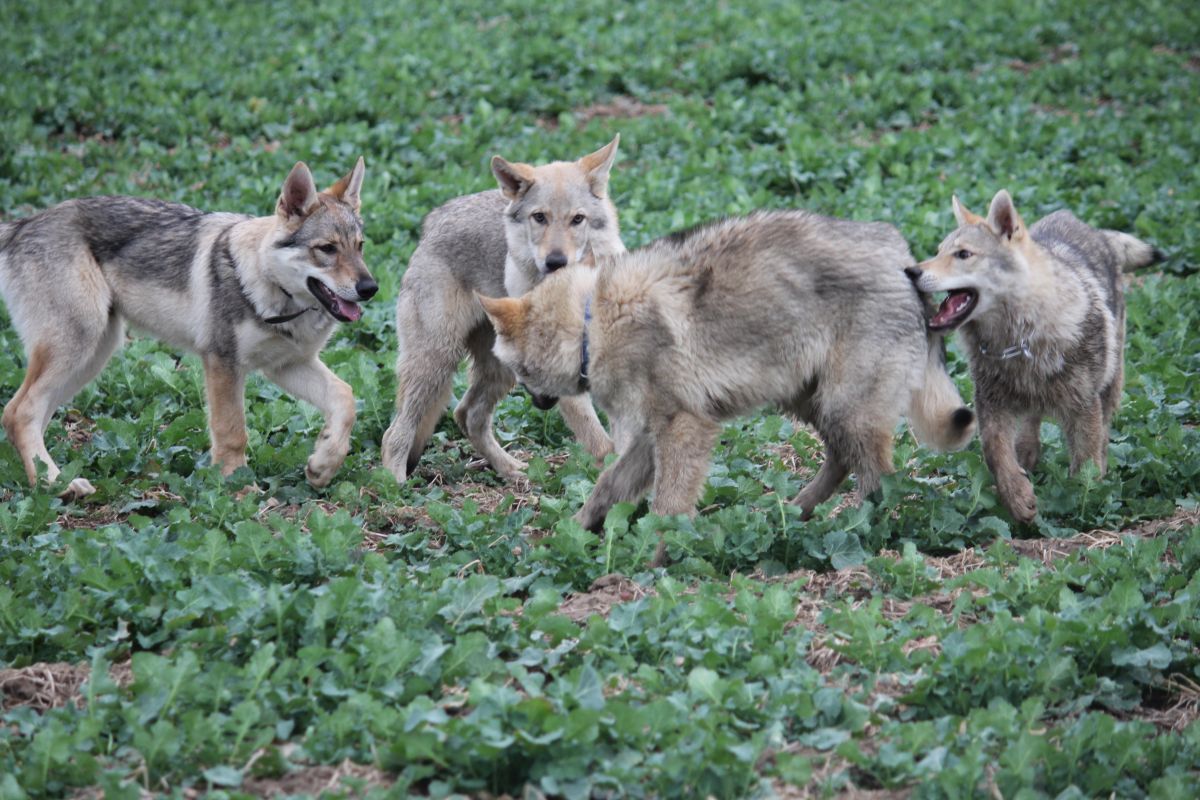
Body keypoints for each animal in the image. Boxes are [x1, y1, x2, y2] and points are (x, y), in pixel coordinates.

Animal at [0, 157, 374, 496]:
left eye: (360, 247)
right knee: (18, 412)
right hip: (78, 347)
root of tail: (23, 223)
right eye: (326, 249)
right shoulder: (222, 363)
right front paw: (238, 488)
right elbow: (232, 431)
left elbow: (346, 398)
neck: (272, 292)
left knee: (26, 415)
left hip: (92, 356)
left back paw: (51, 479)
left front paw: (324, 464)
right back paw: (53, 484)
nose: (371, 288)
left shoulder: (288, 366)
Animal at [381, 136, 628, 482]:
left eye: (577, 219)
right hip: (436, 362)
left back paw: (512, 470)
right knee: (396, 432)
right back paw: (394, 486)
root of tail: (434, 220)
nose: (555, 261)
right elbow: (600, 441)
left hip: (497, 371)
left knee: (466, 415)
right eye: (540, 218)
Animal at [477, 209, 974, 566]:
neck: (591, 321)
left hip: (846, 411)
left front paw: (650, 566)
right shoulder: (649, 437)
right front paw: (574, 532)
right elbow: (607, 486)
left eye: (518, 371)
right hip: (812, 403)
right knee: (841, 461)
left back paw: (864, 534)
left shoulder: (683, 429)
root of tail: (904, 260)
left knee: (878, 482)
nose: (539, 405)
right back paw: (795, 515)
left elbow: (667, 510)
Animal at [907, 190, 1161, 522]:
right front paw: (1017, 497)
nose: (910, 271)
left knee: (1103, 434)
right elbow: (996, 455)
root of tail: (1090, 228)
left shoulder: (1084, 406)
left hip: (1110, 386)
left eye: (963, 254)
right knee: (1030, 424)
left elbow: (1086, 463)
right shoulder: (990, 407)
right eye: (937, 252)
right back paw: (1027, 457)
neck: (1018, 341)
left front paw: (1084, 500)